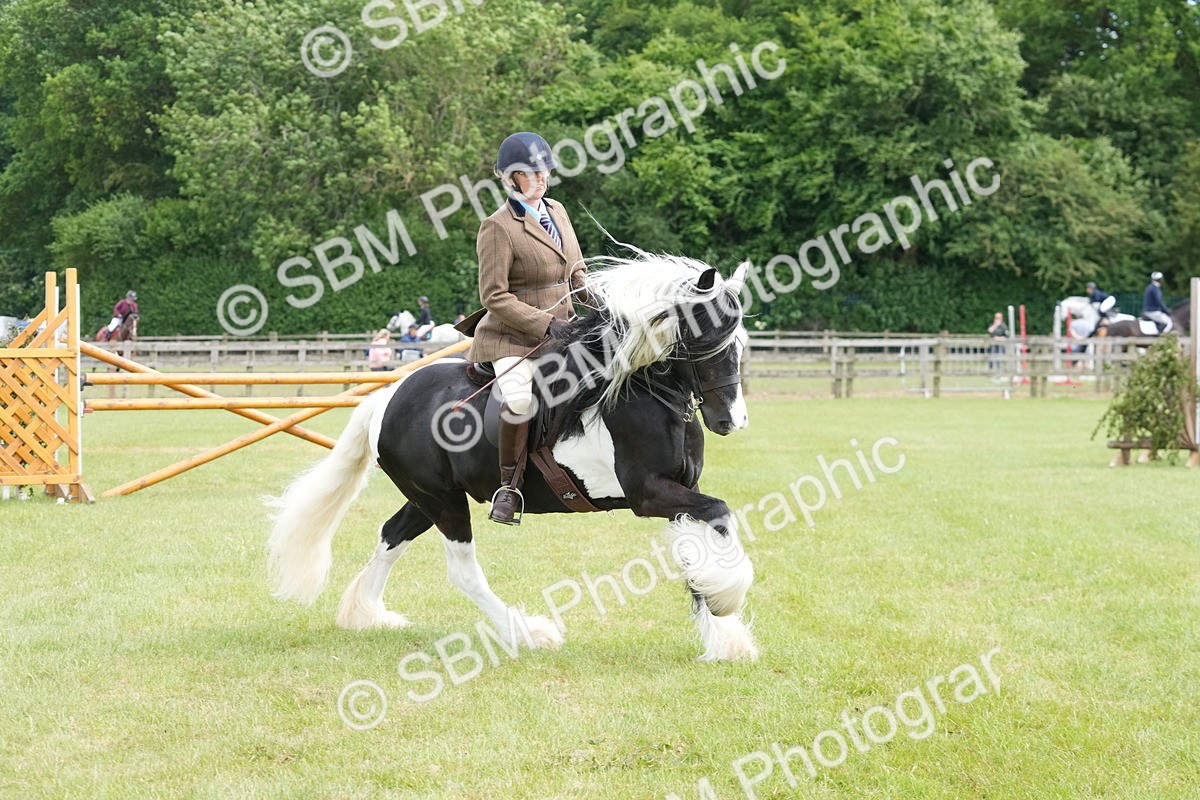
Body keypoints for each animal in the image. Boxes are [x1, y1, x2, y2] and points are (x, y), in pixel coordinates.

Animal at [267, 255, 759, 662]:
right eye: (706, 339)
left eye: (739, 342)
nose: (731, 420)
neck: (645, 393)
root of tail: (388, 395)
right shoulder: (649, 494)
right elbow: (719, 512)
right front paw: (728, 600)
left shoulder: (682, 489)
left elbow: (697, 548)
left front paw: (725, 638)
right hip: (443, 501)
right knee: (462, 570)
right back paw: (528, 633)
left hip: (428, 496)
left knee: (392, 535)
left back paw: (367, 614)